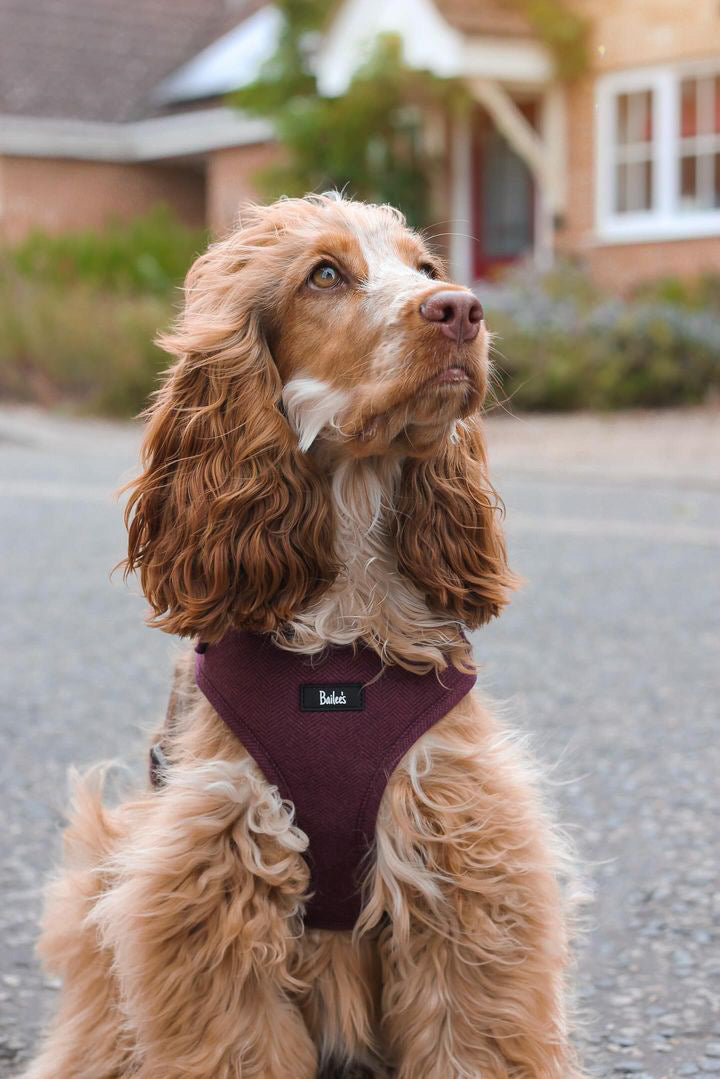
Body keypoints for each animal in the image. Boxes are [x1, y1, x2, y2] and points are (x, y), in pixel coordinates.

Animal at [22, 196, 587, 1079]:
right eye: (324, 274)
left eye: (425, 268)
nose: (461, 308)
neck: (343, 626)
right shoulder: (215, 877)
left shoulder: (463, 859)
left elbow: (472, 1038)